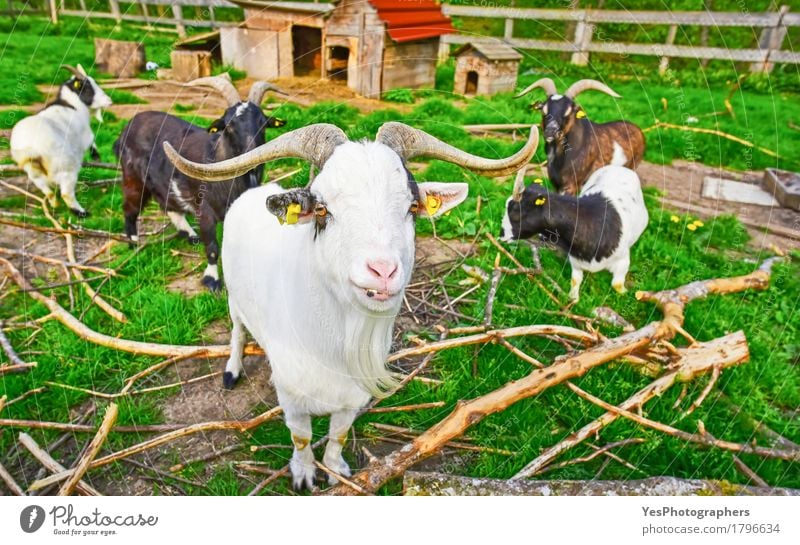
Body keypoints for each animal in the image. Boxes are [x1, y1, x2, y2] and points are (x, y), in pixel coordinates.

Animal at [9, 65, 111, 216]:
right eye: (87, 86)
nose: (109, 100)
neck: (72, 105)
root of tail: (31, 149)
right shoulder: (86, 135)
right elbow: (92, 142)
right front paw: (96, 156)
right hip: (66, 166)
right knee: (67, 193)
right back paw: (82, 212)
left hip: (33, 171)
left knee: (47, 190)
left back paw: (54, 205)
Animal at [112, 74, 288, 292]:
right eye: (228, 126)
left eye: (263, 124)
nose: (252, 153)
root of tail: (127, 127)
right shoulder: (204, 211)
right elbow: (212, 247)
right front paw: (212, 280)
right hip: (133, 177)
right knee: (130, 208)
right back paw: (133, 244)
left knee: (168, 205)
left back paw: (188, 234)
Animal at [166, 122, 540, 488]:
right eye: (322, 209)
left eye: (412, 207)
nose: (383, 271)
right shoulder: (291, 397)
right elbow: (301, 437)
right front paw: (304, 475)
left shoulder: (351, 399)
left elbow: (338, 435)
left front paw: (336, 471)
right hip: (233, 297)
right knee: (238, 330)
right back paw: (232, 369)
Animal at [500, 166, 648, 302]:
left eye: (515, 214)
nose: (501, 235)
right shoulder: (576, 262)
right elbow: (575, 281)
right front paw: (573, 300)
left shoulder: (623, 260)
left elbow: (616, 284)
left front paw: (628, 295)